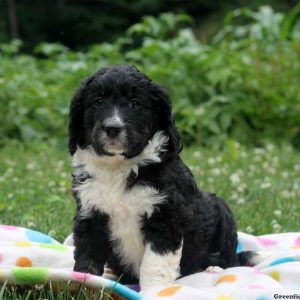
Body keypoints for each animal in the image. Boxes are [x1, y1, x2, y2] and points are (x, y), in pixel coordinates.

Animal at [69, 65, 247, 290]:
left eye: (135, 104)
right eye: (98, 101)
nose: (112, 128)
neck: (120, 167)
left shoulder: (165, 217)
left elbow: (155, 263)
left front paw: (154, 291)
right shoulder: (90, 213)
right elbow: (87, 255)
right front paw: (82, 284)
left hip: (222, 214)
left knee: (232, 259)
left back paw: (214, 268)